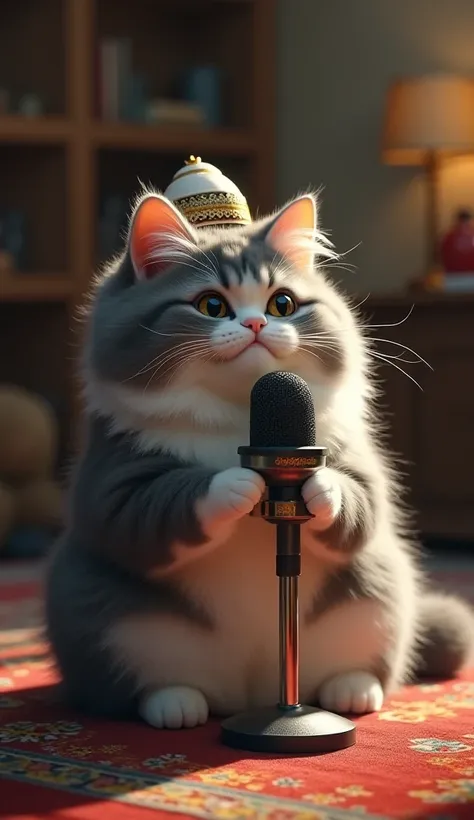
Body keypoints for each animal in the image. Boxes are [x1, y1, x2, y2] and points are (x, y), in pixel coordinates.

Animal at [45, 189, 474, 728]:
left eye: (282, 303)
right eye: (211, 305)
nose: (255, 323)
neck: (243, 415)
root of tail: (254, 693)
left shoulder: (360, 465)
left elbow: (361, 504)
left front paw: (320, 486)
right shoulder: (114, 480)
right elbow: (158, 505)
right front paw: (237, 482)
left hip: (378, 597)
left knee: (365, 666)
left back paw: (351, 693)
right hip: (107, 619)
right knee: (145, 684)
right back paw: (174, 705)